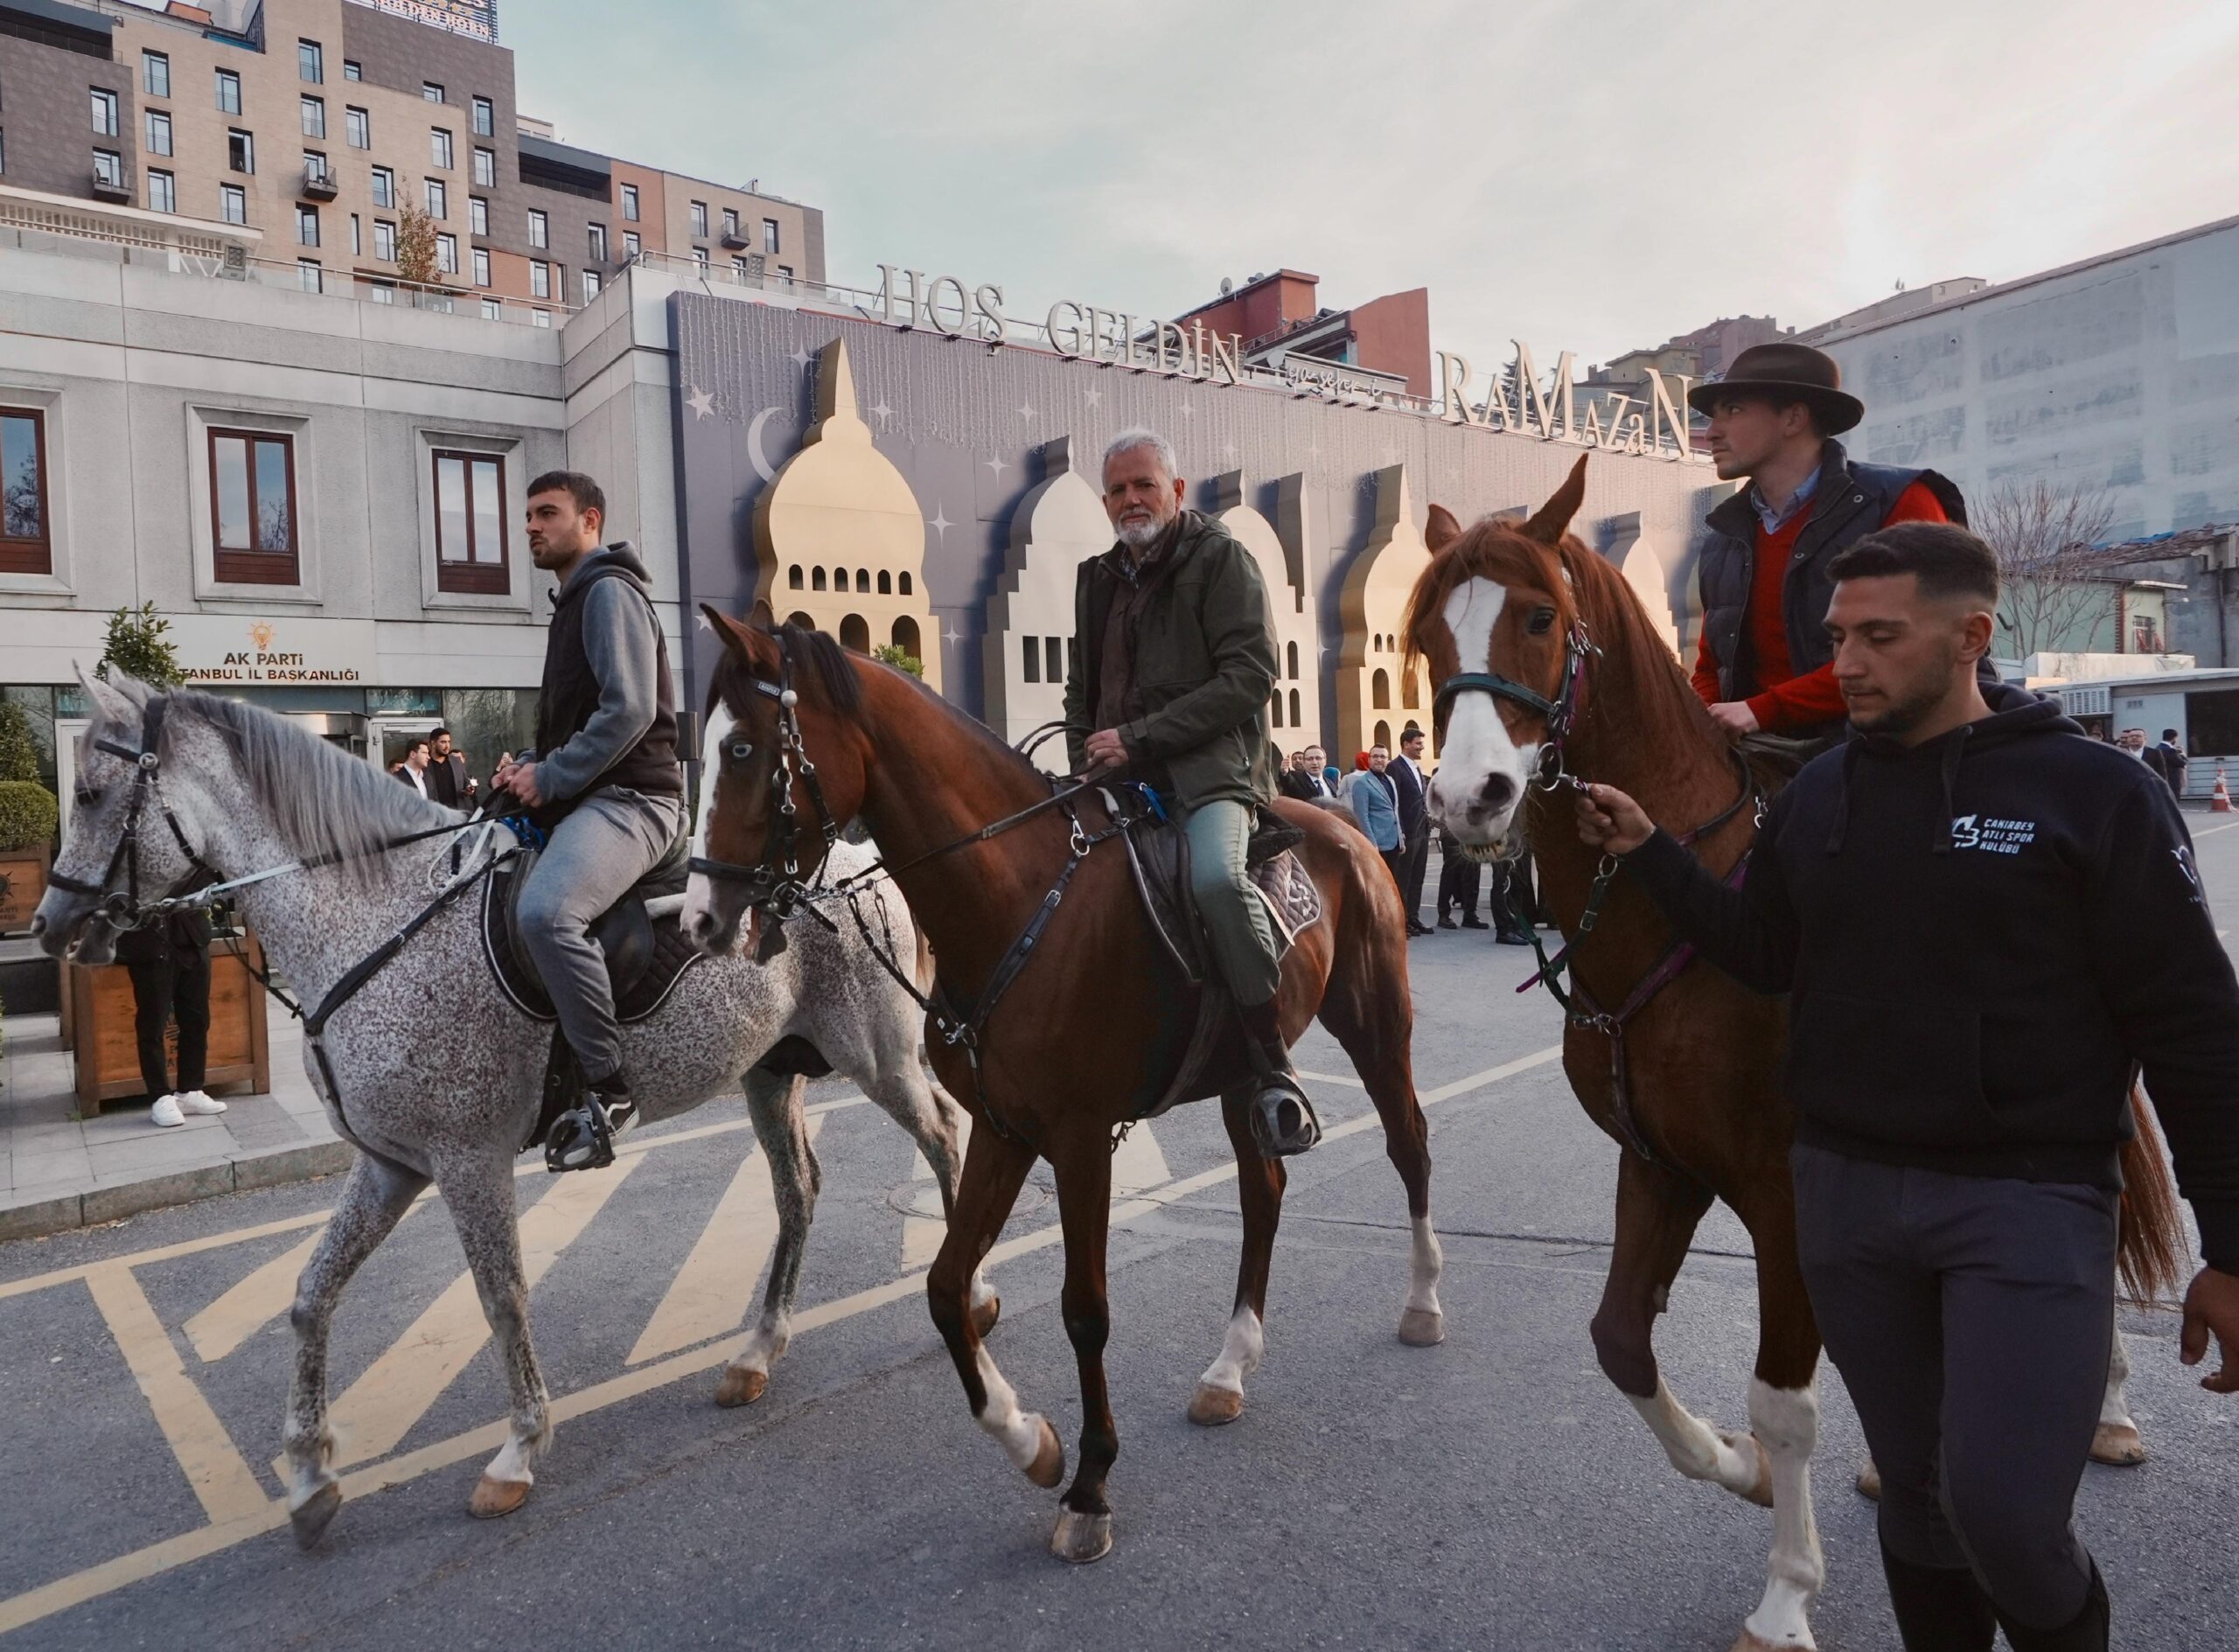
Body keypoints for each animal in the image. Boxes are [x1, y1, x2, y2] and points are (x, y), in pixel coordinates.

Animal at [31, 662, 994, 1540]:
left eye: (90, 791)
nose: (47, 927)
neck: (378, 920)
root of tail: (862, 861)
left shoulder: (468, 1159)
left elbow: (500, 1296)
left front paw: (519, 1448)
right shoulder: (390, 1163)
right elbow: (310, 1292)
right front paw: (308, 1473)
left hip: (878, 1055)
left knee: (946, 1133)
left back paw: (970, 1295)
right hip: (768, 1072)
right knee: (799, 1189)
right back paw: (757, 1349)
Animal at [676, 604, 1433, 1558]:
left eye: (742, 749)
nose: (698, 918)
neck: (1016, 900)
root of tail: (1340, 821)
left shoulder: (1077, 1139)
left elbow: (1084, 1307)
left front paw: (1090, 1484)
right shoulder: (1005, 1129)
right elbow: (944, 1287)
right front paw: (1032, 1440)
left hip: (1376, 1021)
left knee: (1409, 1145)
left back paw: (1422, 1300)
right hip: (1239, 1073)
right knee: (1263, 1191)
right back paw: (1229, 1367)